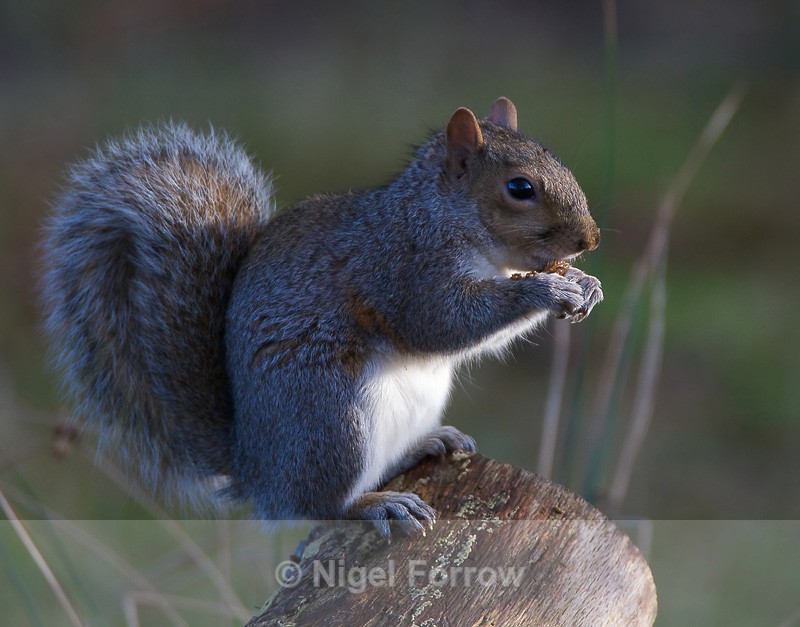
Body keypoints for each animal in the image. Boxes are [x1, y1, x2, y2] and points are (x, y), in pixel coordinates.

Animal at [42, 97, 602, 536]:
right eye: (520, 188)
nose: (590, 240)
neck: (440, 216)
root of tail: (256, 469)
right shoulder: (401, 268)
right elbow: (443, 322)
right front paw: (546, 289)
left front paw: (584, 285)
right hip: (330, 418)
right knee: (320, 505)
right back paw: (376, 505)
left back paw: (427, 443)